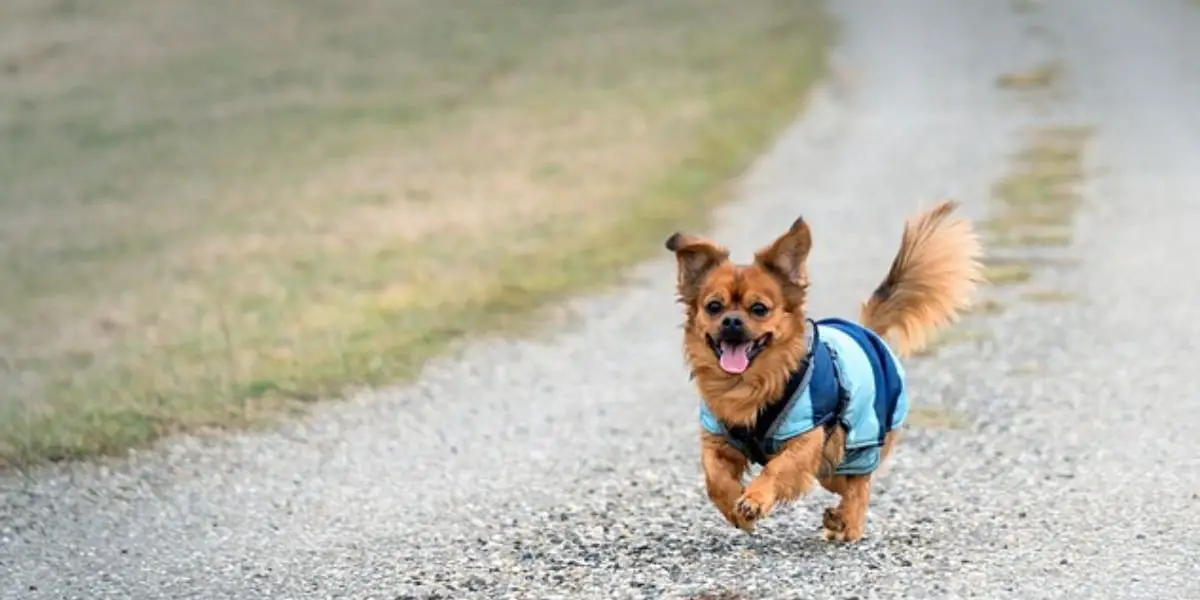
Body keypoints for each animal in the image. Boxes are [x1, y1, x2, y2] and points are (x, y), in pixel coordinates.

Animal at [667, 199, 984, 542]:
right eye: (713, 307)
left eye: (759, 309)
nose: (732, 321)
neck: (747, 385)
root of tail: (866, 330)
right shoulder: (718, 439)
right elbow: (713, 478)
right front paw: (735, 509)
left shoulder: (805, 439)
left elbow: (777, 468)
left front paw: (754, 499)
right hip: (831, 463)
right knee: (845, 485)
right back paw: (837, 518)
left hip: (853, 445)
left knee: (859, 486)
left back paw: (848, 523)